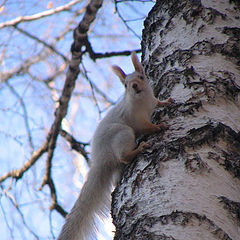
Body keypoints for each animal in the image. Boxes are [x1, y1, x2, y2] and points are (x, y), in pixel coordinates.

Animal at [56, 51, 172, 239]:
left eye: (141, 77)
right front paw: (158, 127)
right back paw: (139, 148)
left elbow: (158, 102)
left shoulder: (152, 101)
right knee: (123, 156)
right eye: (125, 85)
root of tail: (100, 160)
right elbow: (146, 127)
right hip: (123, 133)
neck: (143, 100)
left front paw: (167, 101)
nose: (134, 86)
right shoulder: (135, 119)